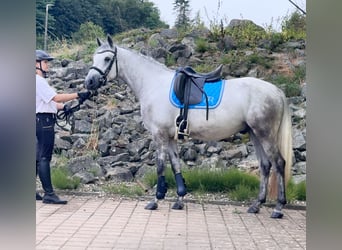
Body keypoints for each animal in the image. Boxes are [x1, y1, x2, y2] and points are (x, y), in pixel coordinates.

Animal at [84, 35, 292, 219]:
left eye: (107, 58)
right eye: (94, 58)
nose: (89, 82)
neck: (153, 85)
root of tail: (277, 91)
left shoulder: (159, 135)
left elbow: (160, 166)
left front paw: (156, 200)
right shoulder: (170, 137)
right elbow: (176, 164)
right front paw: (179, 199)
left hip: (265, 134)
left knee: (278, 163)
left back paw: (278, 208)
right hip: (255, 134)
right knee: (265, 165)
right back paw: (256, 205)